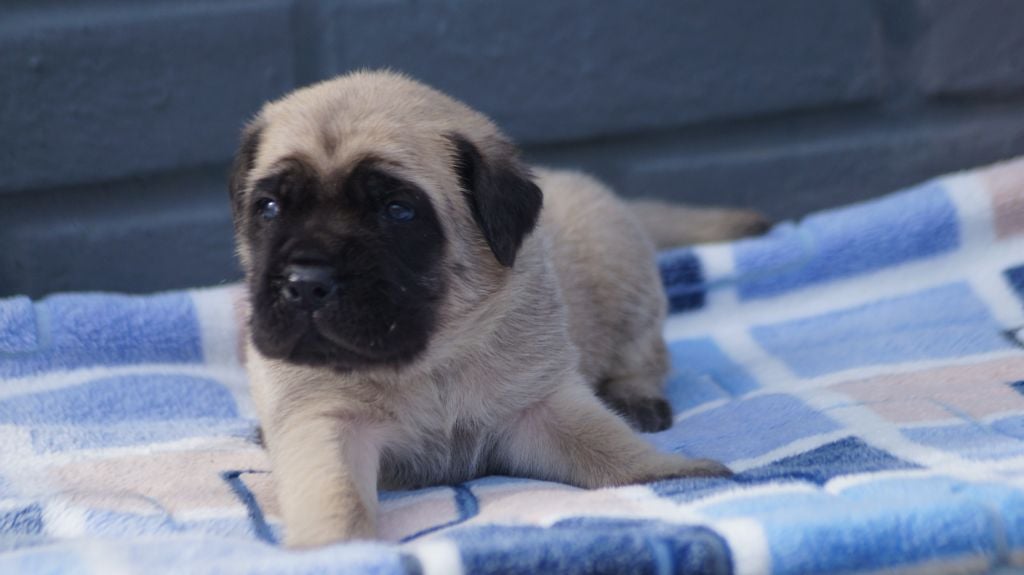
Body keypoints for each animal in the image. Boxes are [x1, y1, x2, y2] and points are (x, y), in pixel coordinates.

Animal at [228, 69, 765, 544]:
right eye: (270, 209)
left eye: (397, 211)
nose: (305, 283)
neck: (430, 363)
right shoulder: (326, 423)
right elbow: (335, 497)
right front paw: (334, 550)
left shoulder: (541, 406)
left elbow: (611, 449)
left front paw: (678, 472)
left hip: (626, 282)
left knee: (645, 356)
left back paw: (636, 397)